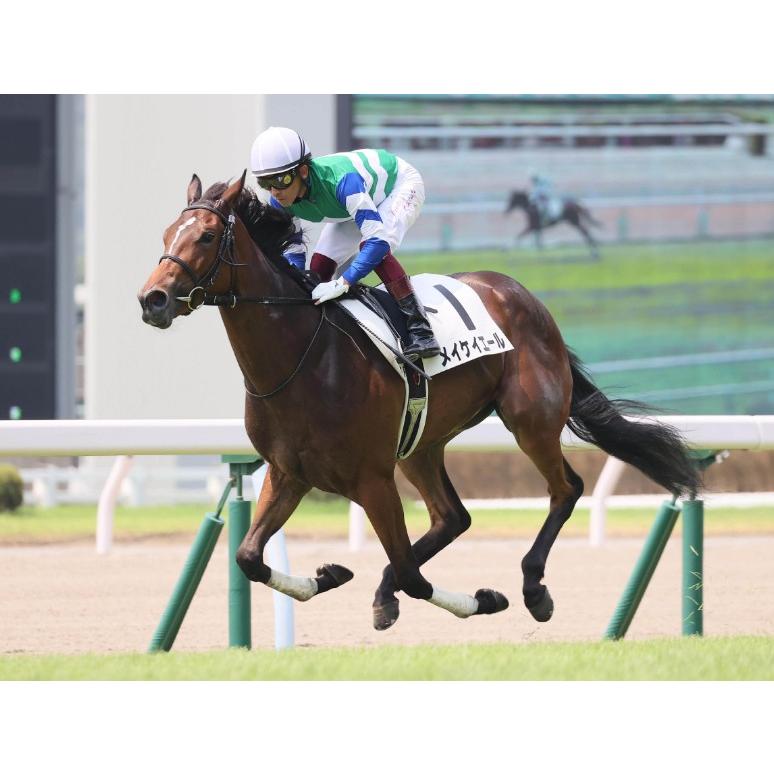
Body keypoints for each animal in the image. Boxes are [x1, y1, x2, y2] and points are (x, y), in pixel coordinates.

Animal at [139, 171, 701, 631]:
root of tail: (522, 294)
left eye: (207, 236)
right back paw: (389, 589)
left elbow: (412, 574)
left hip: (530, 421)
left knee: (565, 489)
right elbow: (249, 558)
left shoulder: (372, 478)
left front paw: (485, 599)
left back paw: (532, 588)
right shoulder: (289, 472)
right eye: (166, 235)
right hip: (422, 443)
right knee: (452, 517)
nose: (153, 300)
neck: (302, 357)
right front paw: (332, 573)